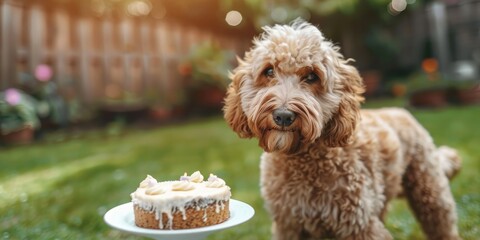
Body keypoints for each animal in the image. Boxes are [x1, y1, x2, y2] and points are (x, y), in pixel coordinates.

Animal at [223, 20, 460, 240]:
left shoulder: (361, 225)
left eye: (312, 76)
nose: (283, 116)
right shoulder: (288, 225)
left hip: (430, 191)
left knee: (442, 224)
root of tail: (402, 111)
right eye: (269, 71)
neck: (302, 160)